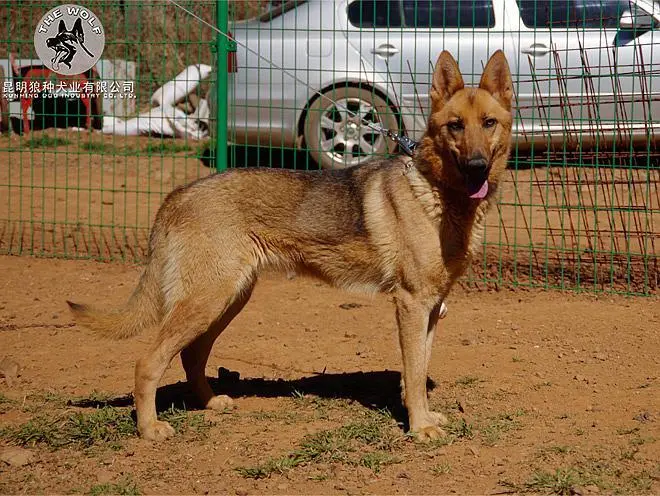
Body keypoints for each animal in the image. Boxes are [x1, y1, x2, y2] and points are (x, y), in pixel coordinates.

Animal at [67, 50, 512, 442]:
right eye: (455, 126)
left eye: (488, 123)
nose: (477, 166)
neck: (437, 193)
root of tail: (176, 196)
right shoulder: (411, 304)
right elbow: (415, 372)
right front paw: (419, 428)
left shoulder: (431, 308)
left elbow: (416, 371)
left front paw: (421, 416)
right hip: (207, 302)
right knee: (148, 362)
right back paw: (149, 428)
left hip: (227, 301)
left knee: (191, 356)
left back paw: (211, 404)